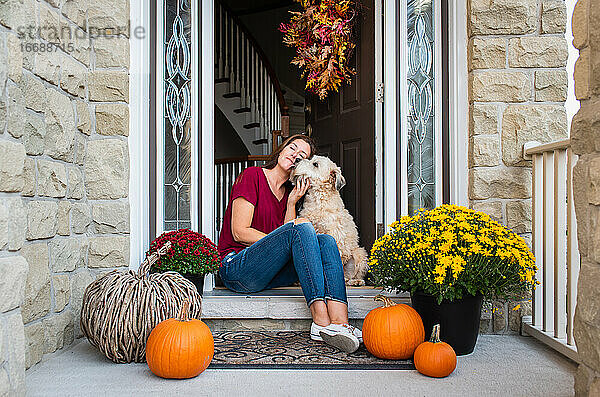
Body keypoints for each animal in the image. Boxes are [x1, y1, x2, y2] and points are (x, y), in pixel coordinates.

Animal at [290, 155, 368, 284]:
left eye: (315, 164)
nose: (297, 159)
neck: (318, 199)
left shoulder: (335, 236)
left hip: (359, 254)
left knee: (351, 275)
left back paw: (355, 281)